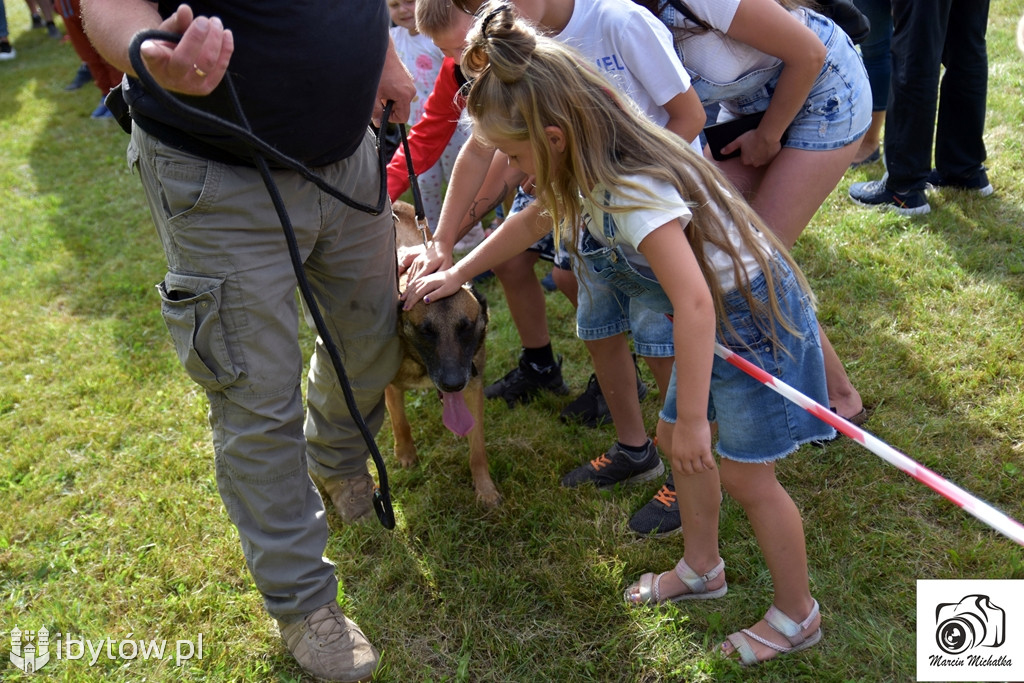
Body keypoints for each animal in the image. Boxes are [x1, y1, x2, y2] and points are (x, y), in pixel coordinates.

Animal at [385, 200, 499, 505]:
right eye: (426, 331)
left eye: (465, 327)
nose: (452, 383)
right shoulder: (390, 385)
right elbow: (400, 422)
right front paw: (406, 454)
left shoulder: (473, 385)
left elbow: (478, 448)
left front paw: (485, 488)